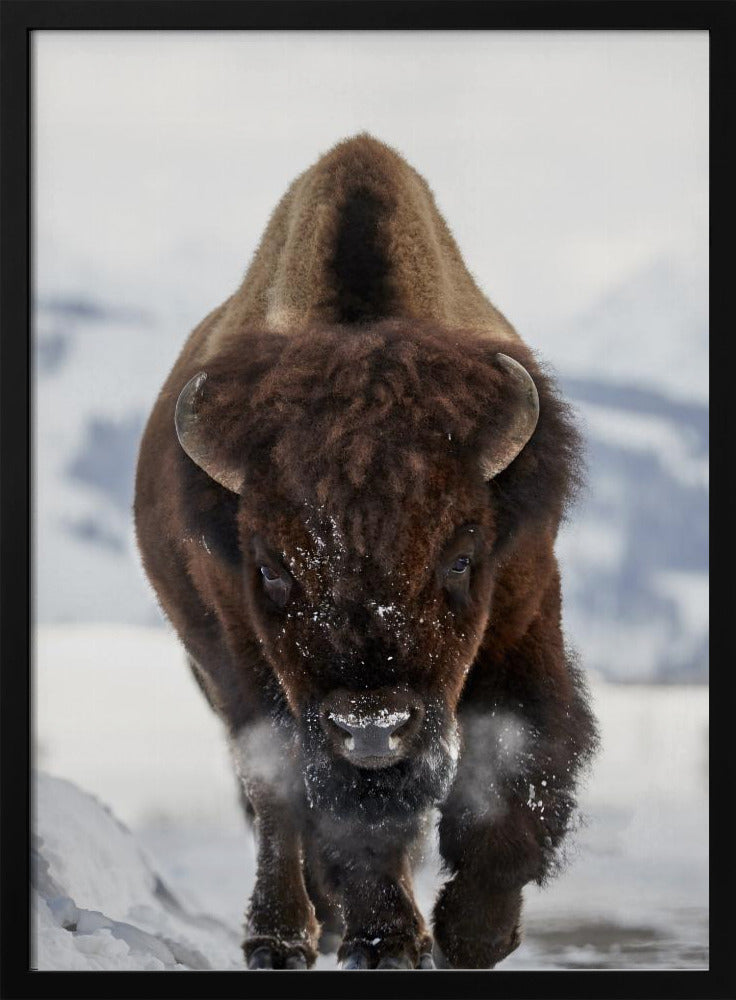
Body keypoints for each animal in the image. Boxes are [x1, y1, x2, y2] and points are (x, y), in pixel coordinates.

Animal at [135, 134, 597, 970]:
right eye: (271, 567)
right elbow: (314, 800)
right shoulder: (247, 654)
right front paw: (385, 940)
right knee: (277, 800)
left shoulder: (522, 611)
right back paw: (285, 935)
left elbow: (518, 758)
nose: (373, 725)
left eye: (461, 557)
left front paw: (473, 932)